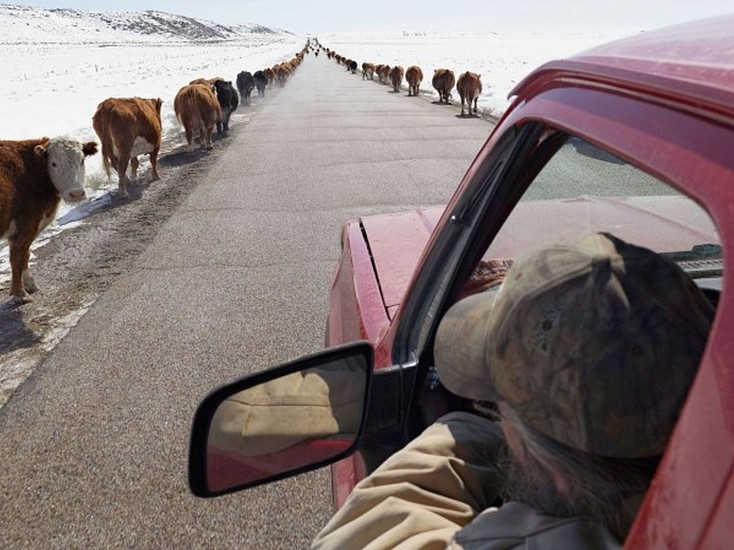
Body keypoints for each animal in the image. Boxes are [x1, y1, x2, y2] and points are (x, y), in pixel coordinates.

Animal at [0, 137, 98, 302]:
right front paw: (20, 294)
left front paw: (30, 285)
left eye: (82, 160)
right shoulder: (26, 225)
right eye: (53, 163)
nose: (76, 193)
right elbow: (17, 258)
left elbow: (26, 255)